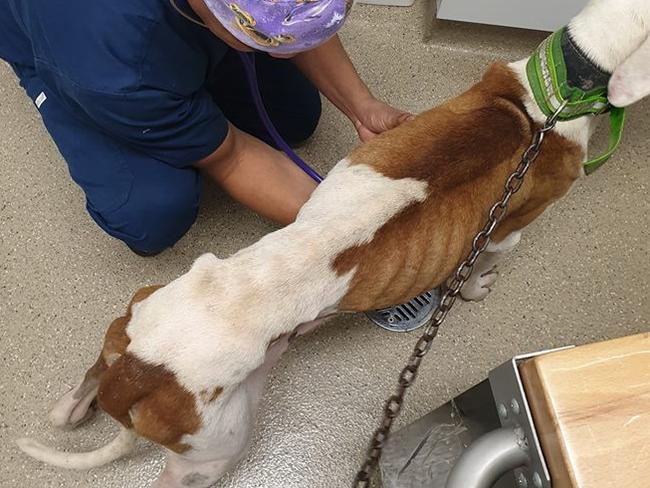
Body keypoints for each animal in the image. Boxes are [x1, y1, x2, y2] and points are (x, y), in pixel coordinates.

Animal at [15, 1, 648, 486]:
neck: (550, 99)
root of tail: (138, 373)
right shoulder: (508, 228)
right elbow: (472, 273)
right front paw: (474, 289)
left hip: (132, 320)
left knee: (80, 388)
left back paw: (72, 406)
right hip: (218, 445)